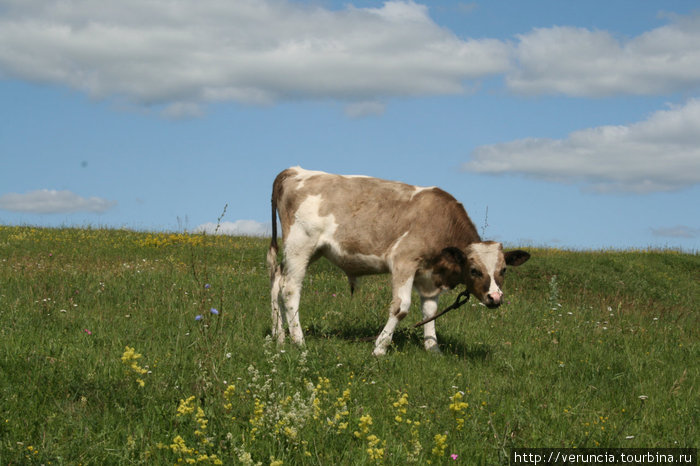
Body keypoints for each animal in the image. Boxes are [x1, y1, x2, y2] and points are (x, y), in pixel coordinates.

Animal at [266, 167, 528, 356]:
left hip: (306, 251)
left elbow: (429, 311)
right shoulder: (404, 260)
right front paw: (380, 348)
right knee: (290, 289)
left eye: (503, 269)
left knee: (277, 281)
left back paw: (279, 336)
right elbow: (401, 307)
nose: (495, 298)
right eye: (474, 270)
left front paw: (433, 350)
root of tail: (296, 171)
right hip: (301, 244)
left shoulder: (429, 277)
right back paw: (299, 341)